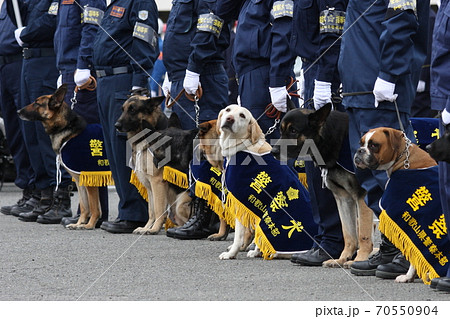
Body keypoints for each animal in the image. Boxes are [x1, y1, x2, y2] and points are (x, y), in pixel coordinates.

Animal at [17, 85, 101, 230]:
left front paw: (89, 225)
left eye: (37, 103)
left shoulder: (90, 180)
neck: (66, 128)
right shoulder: (79, 181)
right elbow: (84, 206)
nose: (17, 111)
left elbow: (94, 207)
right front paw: (79, 223)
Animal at [114, 95, 192, 235]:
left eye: (132, 110)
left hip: (181, 202)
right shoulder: (149, 186)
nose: (116, 126)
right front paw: (146, 228)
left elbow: (159, 209)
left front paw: (154, 229)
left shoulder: (157, 182)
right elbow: (152, 210)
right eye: (123, 109)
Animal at [270, 104, 372, 268]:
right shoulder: (343, 199)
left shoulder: (362, 196)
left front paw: (359, 260)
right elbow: (348, 234)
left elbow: (363, 234)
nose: (273, 152)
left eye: (293, 131)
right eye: (281, 130)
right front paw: (342, 259)